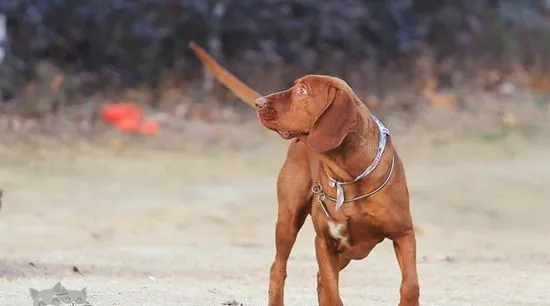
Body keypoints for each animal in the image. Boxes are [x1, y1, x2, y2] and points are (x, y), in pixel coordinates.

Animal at [190, 42, 422, 306]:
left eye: (302, 90)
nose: (259, 102)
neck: (349, 176)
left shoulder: (403, 234)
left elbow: (410, 285)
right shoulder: (324, 242)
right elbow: (332, 292)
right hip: (289, 219)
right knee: (279, 268)